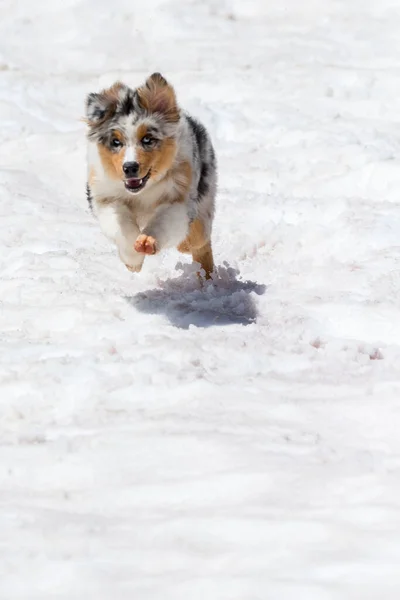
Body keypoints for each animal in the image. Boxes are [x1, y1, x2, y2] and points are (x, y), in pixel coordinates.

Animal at [84, 72, 217, 276]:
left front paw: (147, 241)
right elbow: (121, 225)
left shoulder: (179, 198)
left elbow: (165, 221)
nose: (130, 167)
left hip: (204, 202)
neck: (143, 191)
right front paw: (133, 260)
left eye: (147, 139)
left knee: (199, 242)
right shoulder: (105, 196)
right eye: (115, 142)